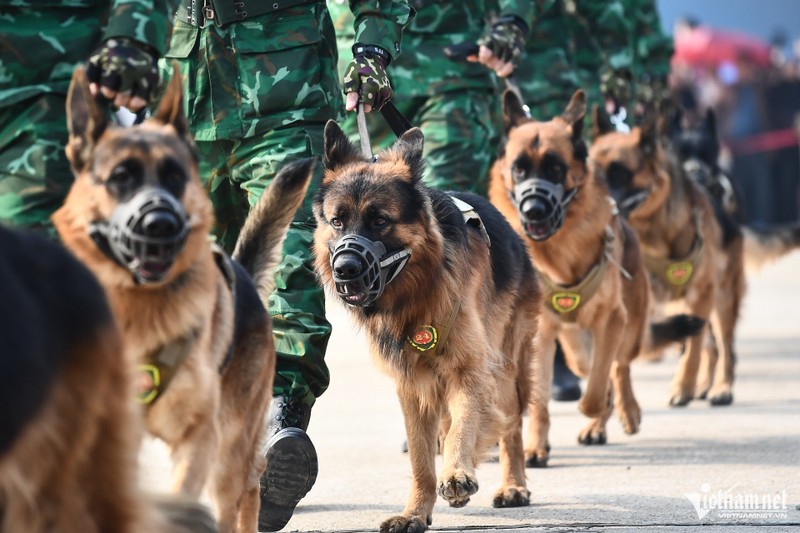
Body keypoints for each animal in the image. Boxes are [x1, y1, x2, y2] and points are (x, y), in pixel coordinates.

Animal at [52, 67, 312, 532]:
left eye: (176, 176)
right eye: (120, 177)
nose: (161, 223)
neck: (137, 310)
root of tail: (240, 271)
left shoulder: (197, 438)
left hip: (228, 446)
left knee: (243, 490)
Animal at [312, 120, 544, 532]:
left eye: (380, 221)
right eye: (337, 221)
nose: (344, 270)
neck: (415, 293)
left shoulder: (470, 370)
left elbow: (464, 426)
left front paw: (457, 474)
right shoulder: (412, 386)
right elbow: (421, 457)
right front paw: (416, 512)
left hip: (507, 366)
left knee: (511, 423)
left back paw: (513, 485)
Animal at [490, 89, 704, 460]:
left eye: (556, 168)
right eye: (519, 169)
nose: (533, 211)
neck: (560, 253)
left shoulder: (611, 320)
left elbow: (598, 388)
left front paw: (600, 409)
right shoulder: (541, 333)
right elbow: (541, 399)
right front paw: (535, 445)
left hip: (629, 329)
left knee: (619, 368)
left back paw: (624, 412)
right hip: (576, 350)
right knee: (593, 370)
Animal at [588, 106, 744, 406]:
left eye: (619, 172)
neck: (653, 232)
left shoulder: (701, 294)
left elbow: (693, 349)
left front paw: (682, 387)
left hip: (721, 298)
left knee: (724, 346)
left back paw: (721, 387)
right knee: (710, 346)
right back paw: (704, 385)